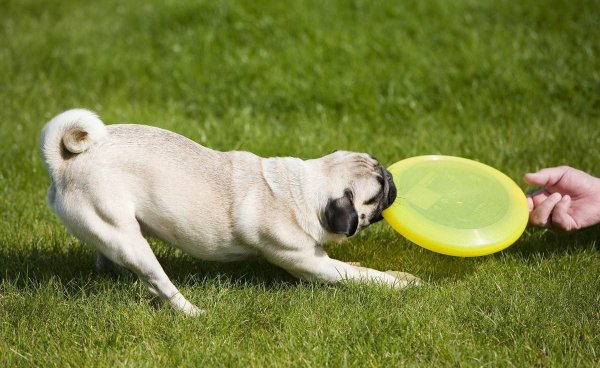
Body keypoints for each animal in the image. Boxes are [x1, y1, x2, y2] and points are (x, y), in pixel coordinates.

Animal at [38, 109, 422, 316]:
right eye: (376, 191)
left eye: (378, 166)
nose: (390, 178)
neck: (302, 189)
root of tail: (63, 163)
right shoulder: (308, 263)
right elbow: (356, 274)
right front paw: (396, 283)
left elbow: (351, 266)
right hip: (130, 242)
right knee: (161, 285)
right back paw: (193, 313)